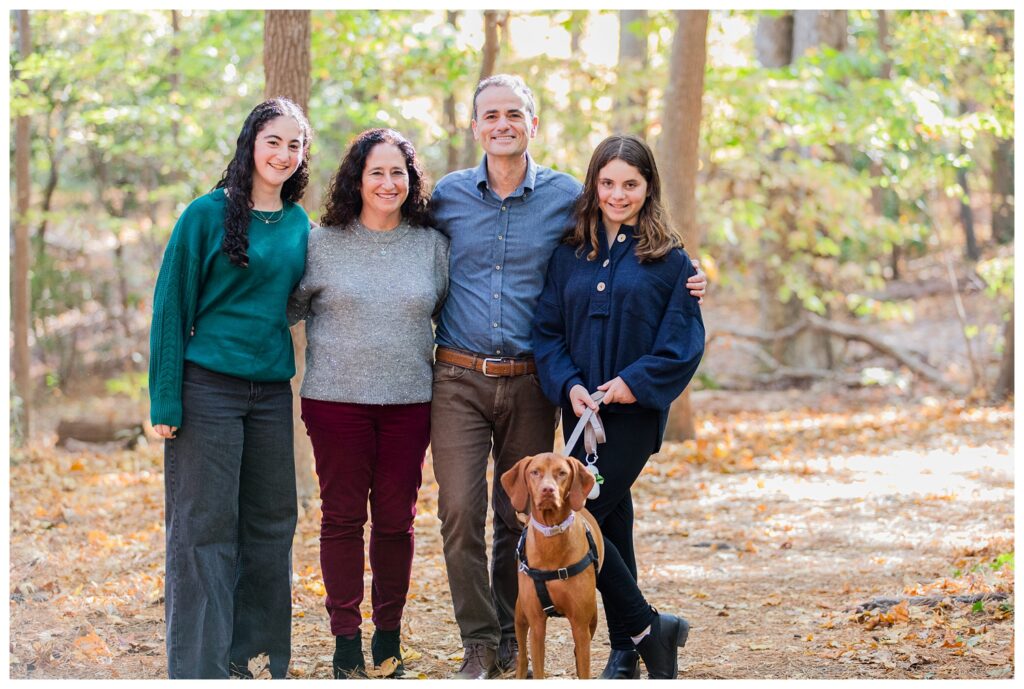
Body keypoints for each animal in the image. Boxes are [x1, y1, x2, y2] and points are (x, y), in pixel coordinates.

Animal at [499, 450, 602, 675]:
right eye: (535, 472)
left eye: (562, 473)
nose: (548, 490)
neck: (552, 536)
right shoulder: (536, 624)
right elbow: (538, 669)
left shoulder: (580, 625)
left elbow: (583, 668)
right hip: (520, 615)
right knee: (522, 658)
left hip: (593, 619)